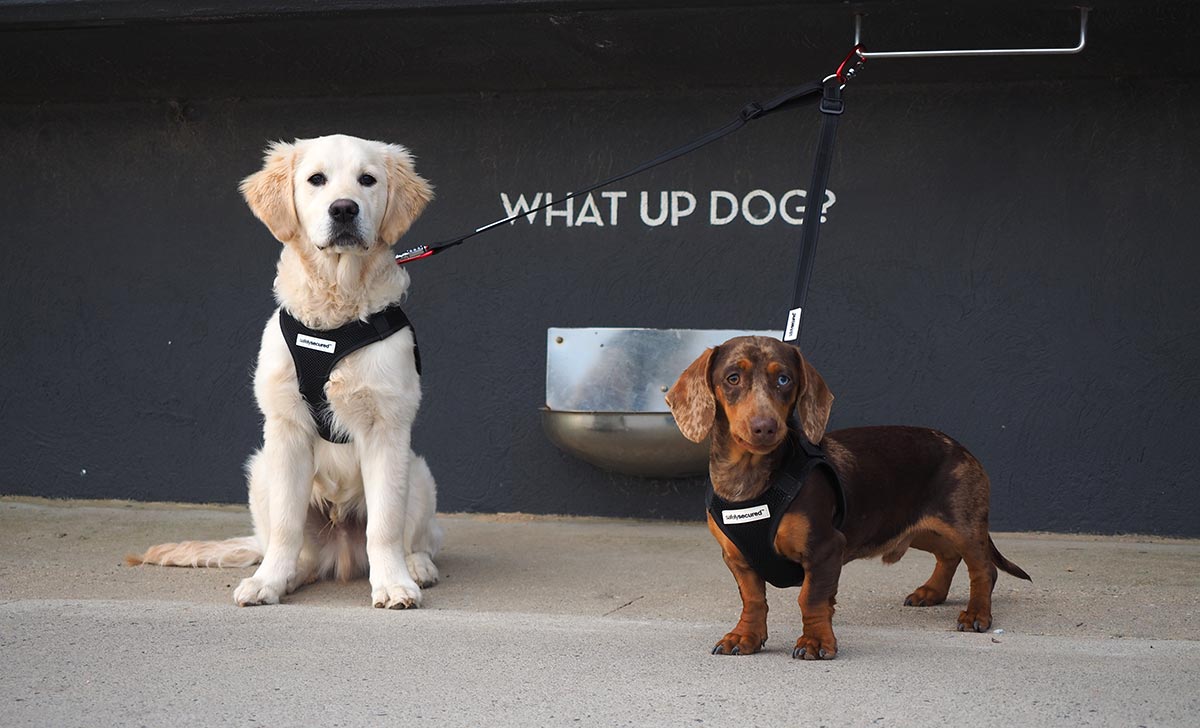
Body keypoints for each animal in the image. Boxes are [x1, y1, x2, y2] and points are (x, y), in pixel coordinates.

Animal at [127, 135, 446, 609]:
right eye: (316, 179)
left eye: (368, 180)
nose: (344, 209)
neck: (335, 322)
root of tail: (342, 552)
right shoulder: (286, 428)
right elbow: (284, 526)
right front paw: (269, 581)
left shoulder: (387, 426)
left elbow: (385, 524)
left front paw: (393, 584)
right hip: (261, 469)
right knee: (296, 548)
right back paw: (289, 575)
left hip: (420, 472)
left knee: (418, 538)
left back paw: (418, 568)